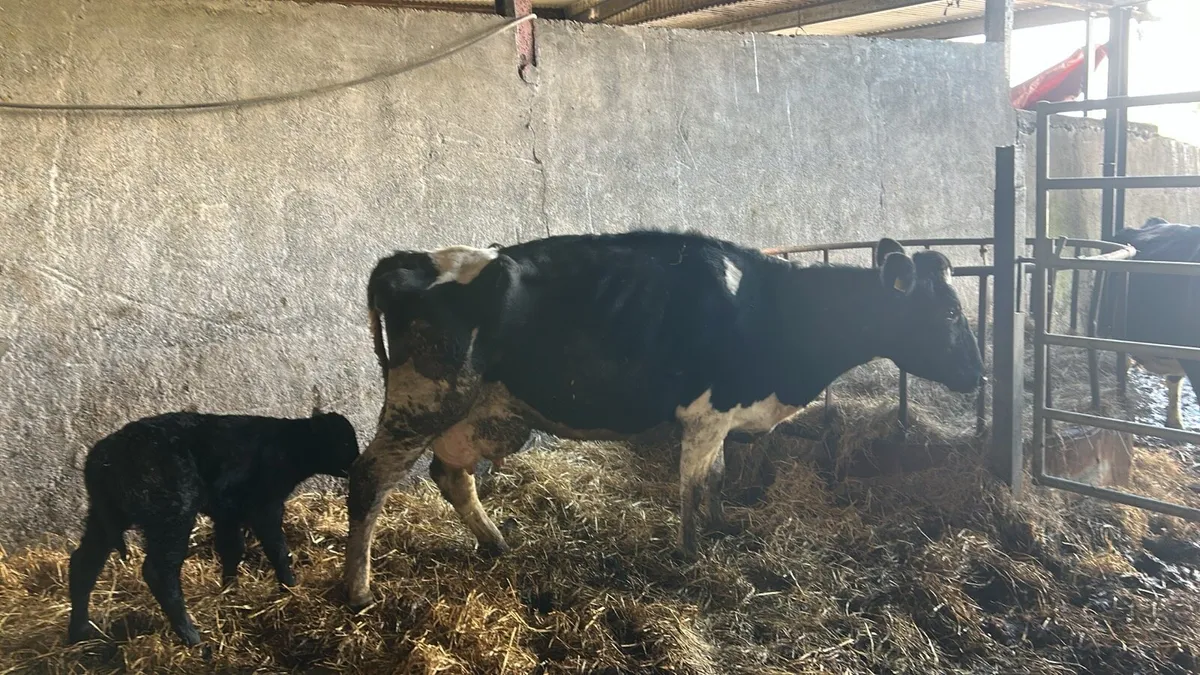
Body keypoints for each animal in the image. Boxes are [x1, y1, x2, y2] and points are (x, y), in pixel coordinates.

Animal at [67, 409, 360, 646]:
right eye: (344, 442)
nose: (358, 464)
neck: (290, 448)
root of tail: (101, 460)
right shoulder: (264, 504)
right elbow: (277, 548)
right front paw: (289, 586)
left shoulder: (228, 510)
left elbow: (232, 549)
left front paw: (230, 592)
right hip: (172, 511)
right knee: (159, 571)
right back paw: (191, 637)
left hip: (106, 515)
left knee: (84, 564)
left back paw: (79, 632)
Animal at [344, 230, 983, 610]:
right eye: (951, 312)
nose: (979, 375)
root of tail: (407, 260)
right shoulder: (706, 414)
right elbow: (693, 484)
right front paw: (692, 555)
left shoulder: (724, 419)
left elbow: (718, 478)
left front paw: (723, 528)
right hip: (423, 400)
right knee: (370, 479)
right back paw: (356, 588)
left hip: (471, 410)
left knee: (451, 476)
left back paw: (496, 541)